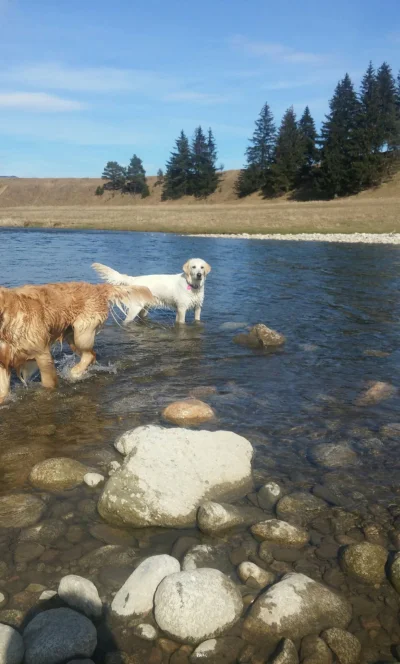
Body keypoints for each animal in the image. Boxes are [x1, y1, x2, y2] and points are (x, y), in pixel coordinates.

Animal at [0, 278, 155, 402]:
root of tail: (97, 288)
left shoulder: (42, 354)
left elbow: (48, 383)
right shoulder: (3, 362)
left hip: (82, 333)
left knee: (89, 355)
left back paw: (74, 373)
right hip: (72, 337)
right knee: (91, 355)